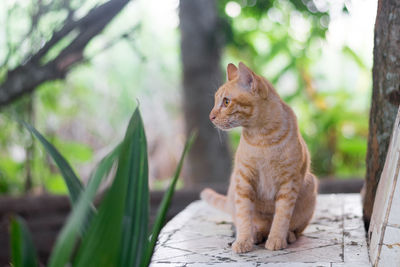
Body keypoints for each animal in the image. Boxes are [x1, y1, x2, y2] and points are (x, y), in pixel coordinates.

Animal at [202, 62, 318, 253]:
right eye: (215, 101)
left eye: (226, 102)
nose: (210, 116)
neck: (262, 138)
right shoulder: (243, 180)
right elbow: (244, 216)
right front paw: (243, 240)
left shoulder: (289, 182)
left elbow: (282, 217)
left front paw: (277, 239)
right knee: (250, 223)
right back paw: (256, 234)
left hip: (310, 185)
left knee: (295, 229)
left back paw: (287, 235)